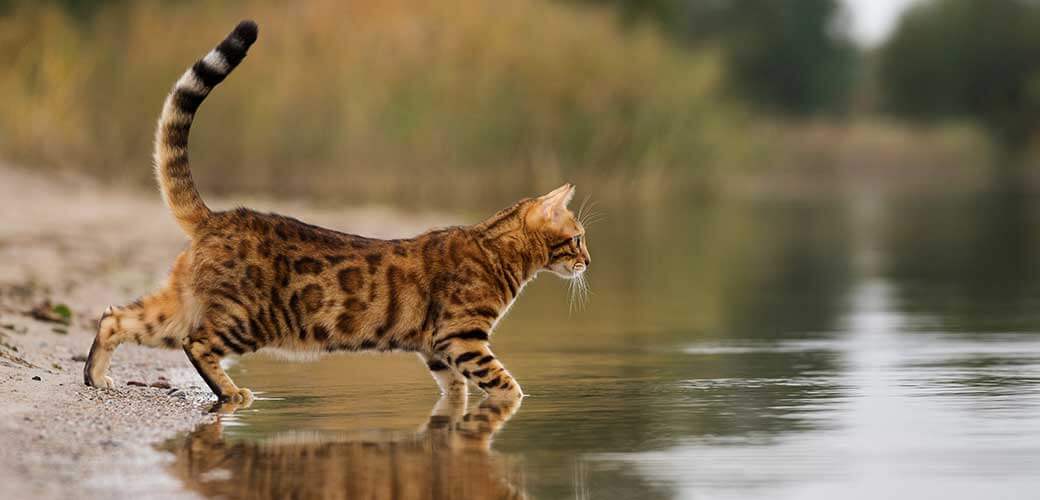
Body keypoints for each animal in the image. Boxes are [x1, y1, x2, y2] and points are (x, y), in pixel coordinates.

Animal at [85, 20, 590, 401]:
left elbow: (455, 390)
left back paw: (96, 376)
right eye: (579, 238)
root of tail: (218, 218)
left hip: (181, 305)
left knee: (115, 316)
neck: (497, 250)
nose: (588, 261)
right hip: (245, 319)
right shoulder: (461, 337)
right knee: (197, 343)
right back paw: (231, 393)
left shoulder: (436, 348)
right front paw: (514, 402)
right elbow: (504, 384)